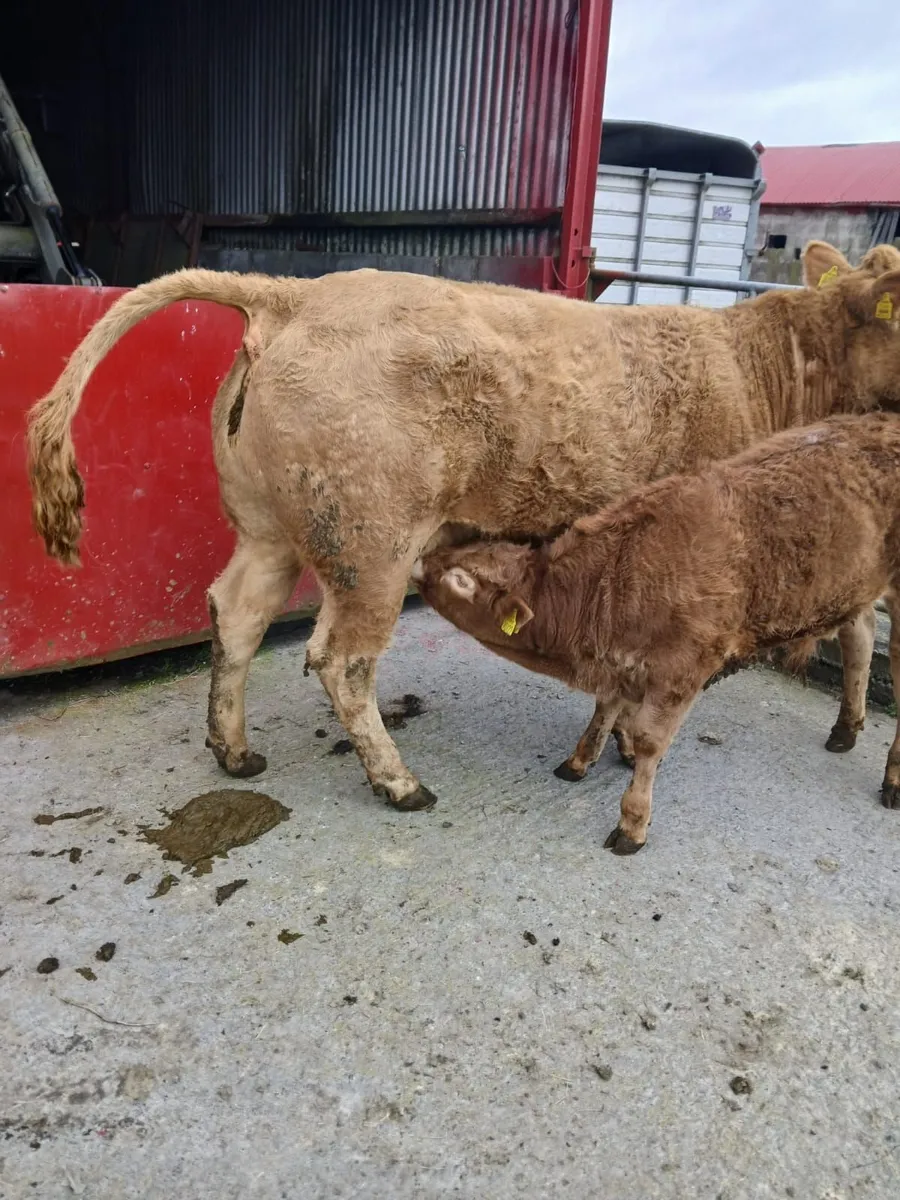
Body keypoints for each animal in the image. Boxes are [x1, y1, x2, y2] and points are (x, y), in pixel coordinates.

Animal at [412, 412, 900, 853]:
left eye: (461, 579)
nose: (418, 560)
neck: (612, 578)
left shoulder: (683, 669)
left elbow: (648, 742)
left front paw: (632, 824)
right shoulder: (620, 662)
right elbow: (605, 708)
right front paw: (579, 760)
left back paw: (891, 777)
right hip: (851, 586)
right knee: (859, 637)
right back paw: (845, 728)